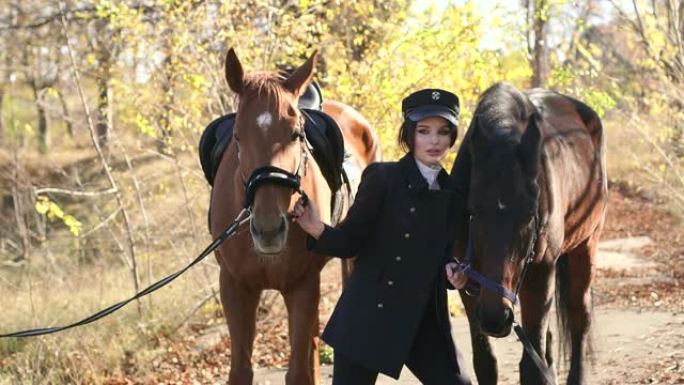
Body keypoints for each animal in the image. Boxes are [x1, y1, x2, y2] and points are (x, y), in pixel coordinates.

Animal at [208, 48, 380, 384]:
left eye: (296, 134)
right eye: (238, 136)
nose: (268, 230)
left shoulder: (302, 285)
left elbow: (299, 371)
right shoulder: (234, 287)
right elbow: (241, 371)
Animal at [452, 82, 608, 384]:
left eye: (528, 215)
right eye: (473, 211)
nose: (496, 318)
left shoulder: (540, 274)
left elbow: (532, 367)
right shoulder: (467, 281)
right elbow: (486, 363)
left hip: (586, 244)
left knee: (579, 318)